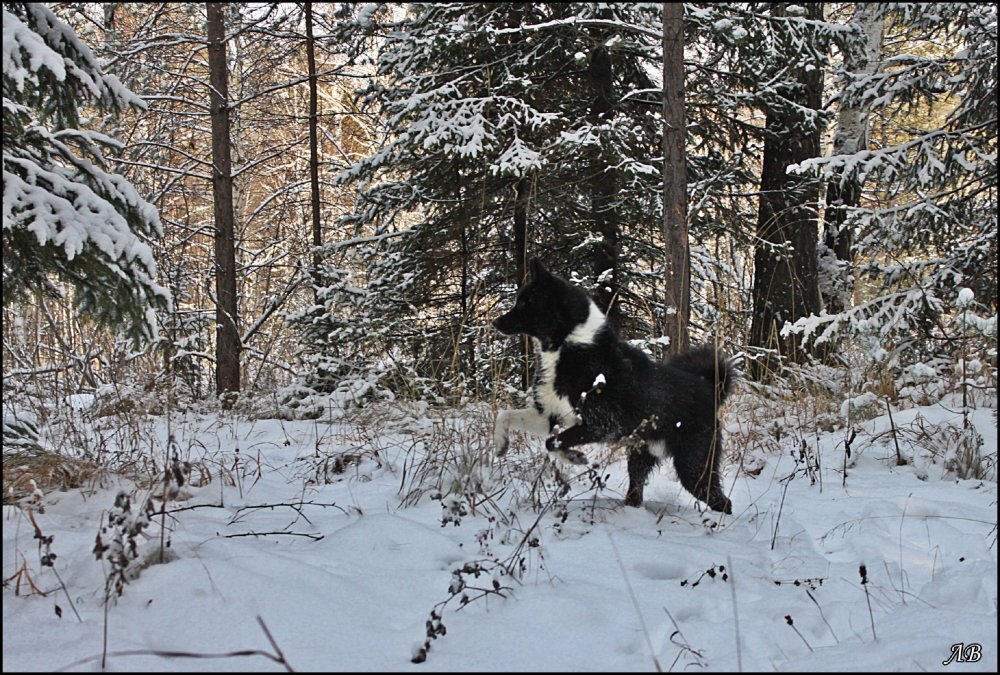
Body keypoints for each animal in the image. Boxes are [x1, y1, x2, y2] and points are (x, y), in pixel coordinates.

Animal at [492, 258, 736, 512]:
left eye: (525, 302)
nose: (494, 321)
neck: (570, 345)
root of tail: (709, 389)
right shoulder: (551, 416)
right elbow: (505, 415)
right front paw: (500, 444)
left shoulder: (603, 425)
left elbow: (552, 442)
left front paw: (573, 457)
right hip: (641, 456)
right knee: (636, 488)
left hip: (694, 465)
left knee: (721, 501)